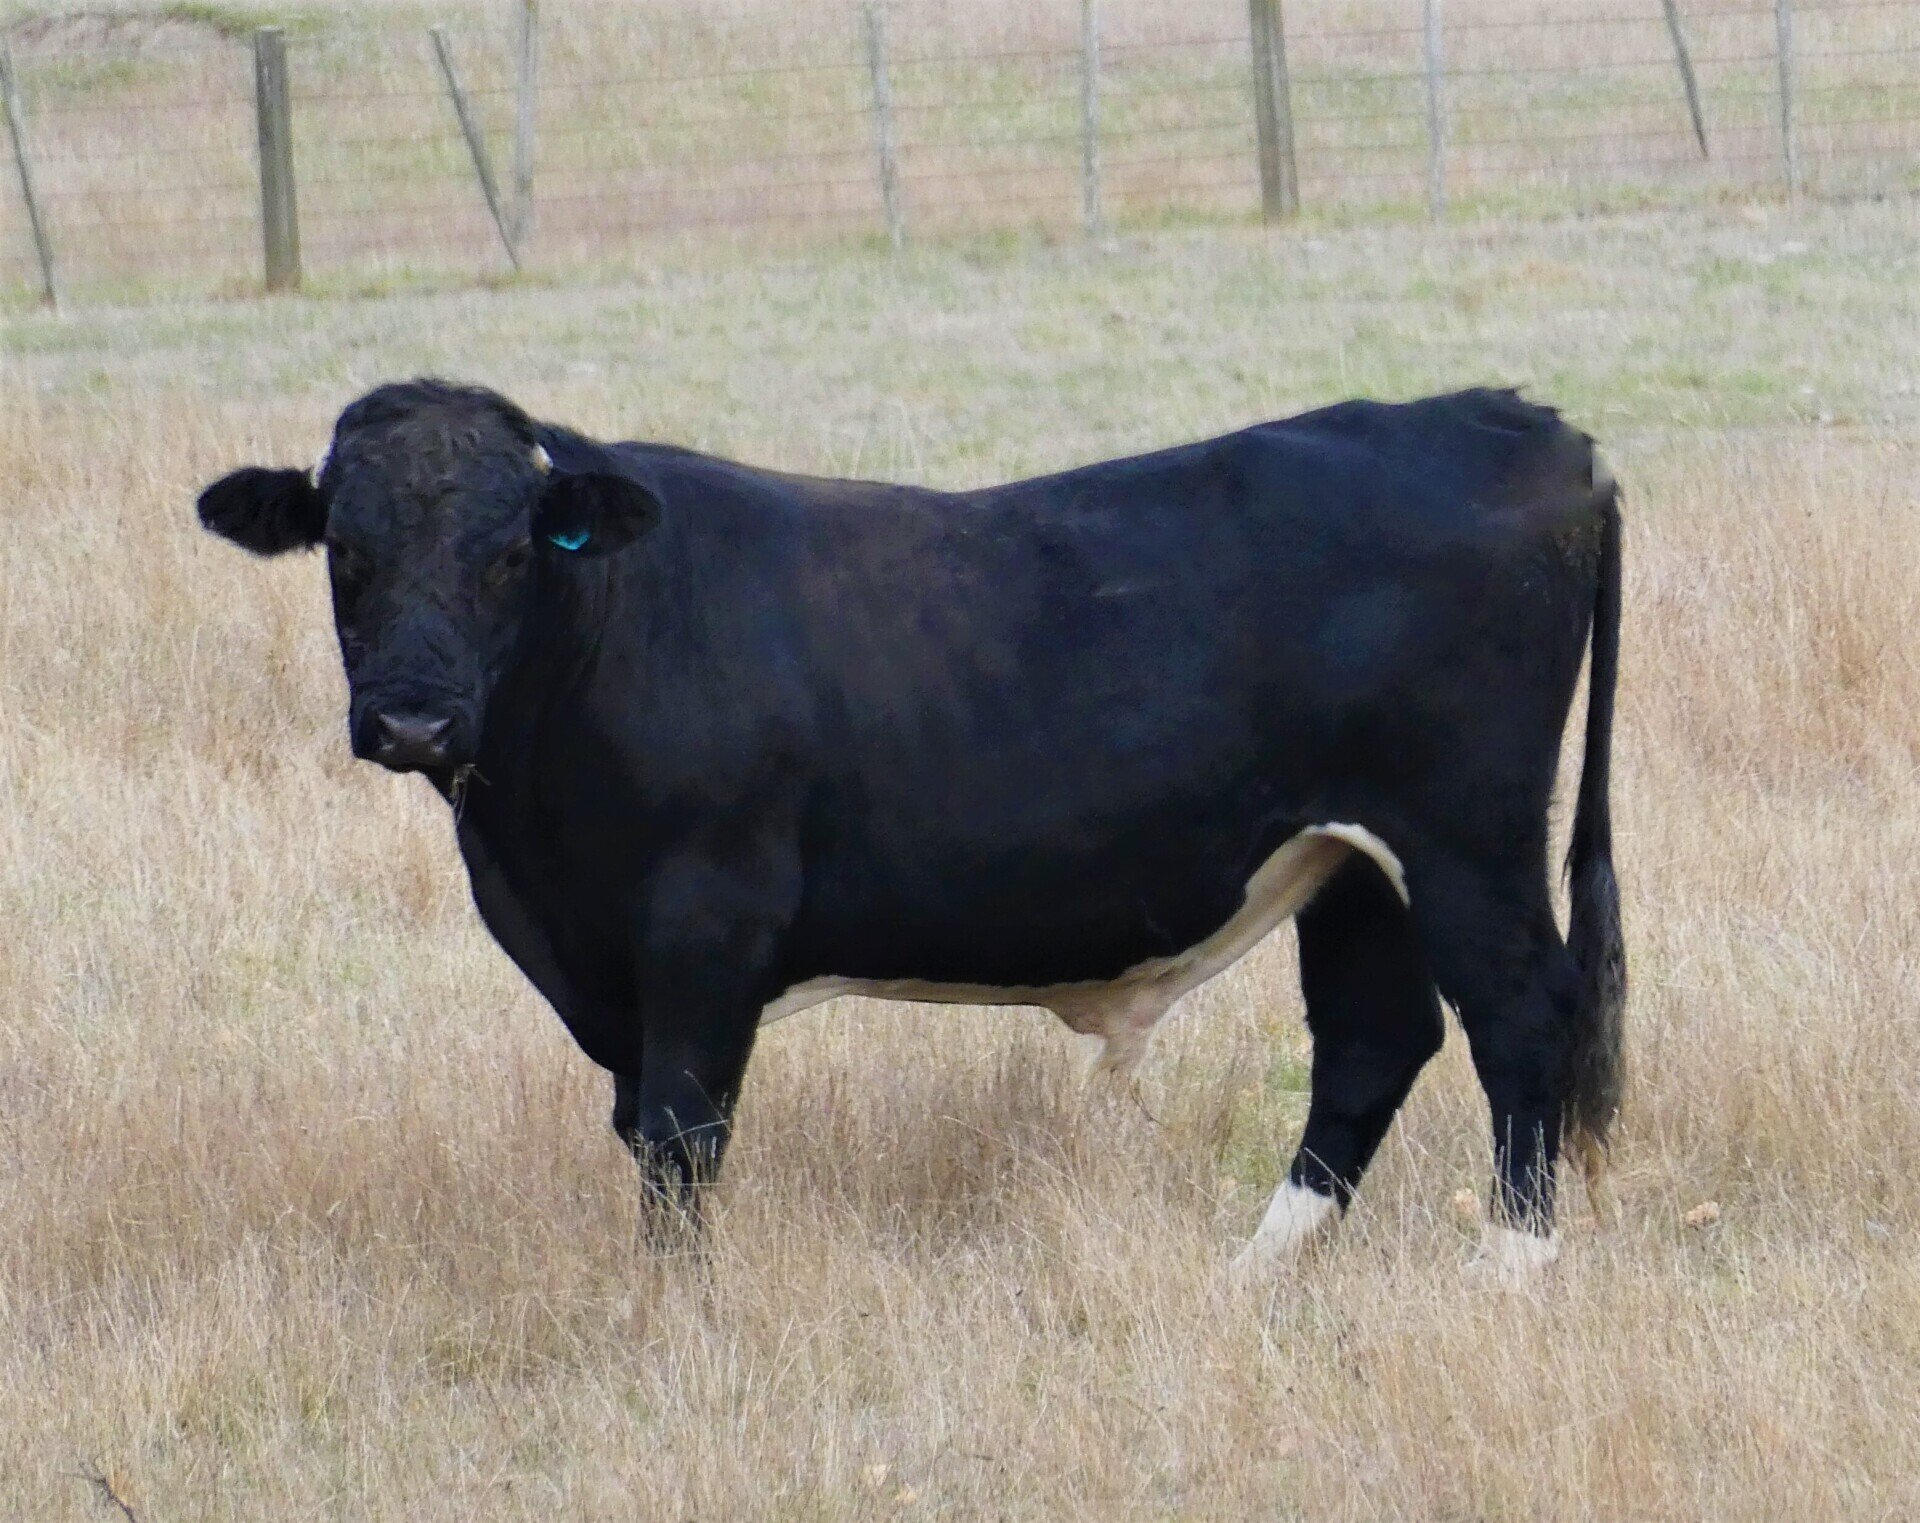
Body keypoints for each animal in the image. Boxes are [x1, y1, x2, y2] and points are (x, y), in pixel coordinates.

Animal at [196, 379, 1624, 1278]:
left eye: (508, 554)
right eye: (345, 552)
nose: (414, 720)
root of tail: (1505, 416)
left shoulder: (704, 928)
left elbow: (679, 1132)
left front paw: (672, 1309)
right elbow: (642, 1124)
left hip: (1466, 840)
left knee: (1522, 1015)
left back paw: (1509, 1265)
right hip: (1352, 862)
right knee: (1376, 1040)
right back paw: (1254, 1273)